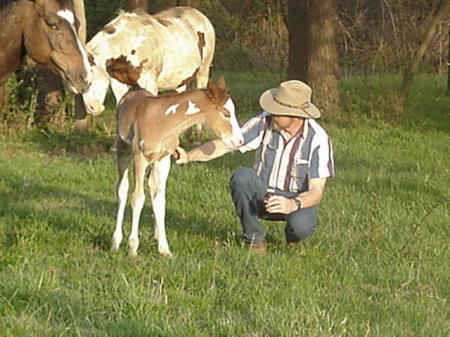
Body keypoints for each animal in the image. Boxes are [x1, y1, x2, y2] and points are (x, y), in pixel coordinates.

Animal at [111, 77, 243, 256]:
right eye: (226, 113)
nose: (240, 141)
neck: (162, 121)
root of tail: (131, 93)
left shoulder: (164, 158)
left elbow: (160, 201)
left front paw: (164, 249)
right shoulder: (140, 158)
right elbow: (137, 198)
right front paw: (133, 248)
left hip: (156, 163)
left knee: (153, 189)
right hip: (124, 151)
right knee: (122, 190)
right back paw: (116, 241)